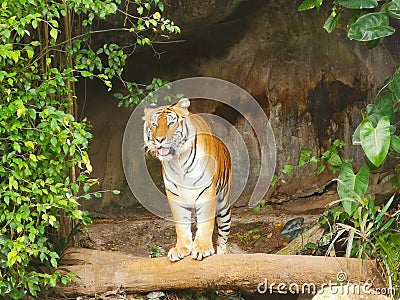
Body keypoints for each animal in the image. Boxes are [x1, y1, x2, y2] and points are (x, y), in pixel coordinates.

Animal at [143, 97, 231, 262]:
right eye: (154, 124)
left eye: (171, 123)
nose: (159, 139)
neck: (179, 162)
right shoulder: (175, 195)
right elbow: (181, 225)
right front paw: (181, 249)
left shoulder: (206, 191)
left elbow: (206, 223)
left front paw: (202, 248)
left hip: (224, 206)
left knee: (223, 235)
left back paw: (221, 254)